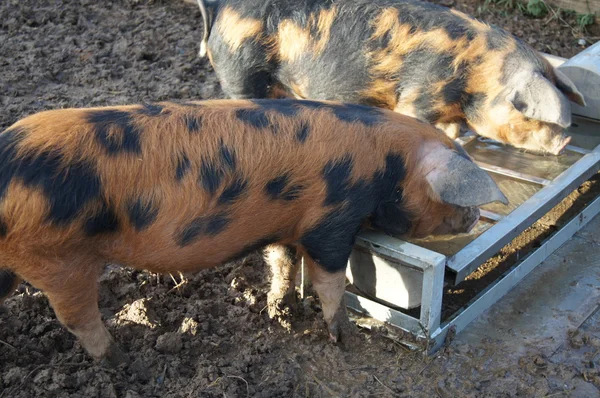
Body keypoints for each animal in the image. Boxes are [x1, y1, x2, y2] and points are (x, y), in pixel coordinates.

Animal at [0, 98, 506, 364]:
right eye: (457, 199)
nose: (475, 219)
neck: (389, 165)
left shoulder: (290, 224)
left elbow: (281, 263)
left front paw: (279, 309)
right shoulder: (331, 219)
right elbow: (330, 280)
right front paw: (343, 336)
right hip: (57, 257)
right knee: (77, 317)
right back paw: (121, 361)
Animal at [196, 0, 584, 155]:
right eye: (529, 113)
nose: (565, 142)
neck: (477, 78)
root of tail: (222, 8)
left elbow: (452, 131)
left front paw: (455, 141)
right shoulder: (418, 96)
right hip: (241, 69)